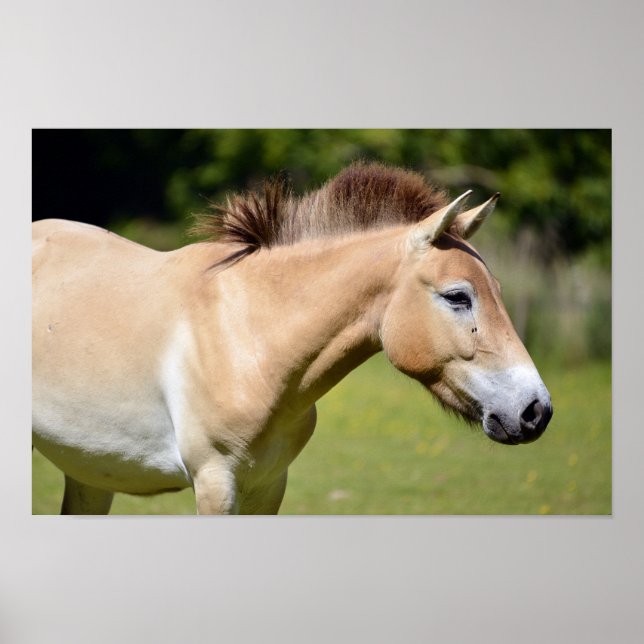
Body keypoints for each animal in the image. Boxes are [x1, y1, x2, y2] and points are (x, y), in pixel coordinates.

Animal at [32, 162, 552, 514]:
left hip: (90, 471)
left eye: (497, 290)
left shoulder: (268, 485)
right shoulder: (215, 484)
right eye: (458, 296)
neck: (249, 338)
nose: (536, 411)